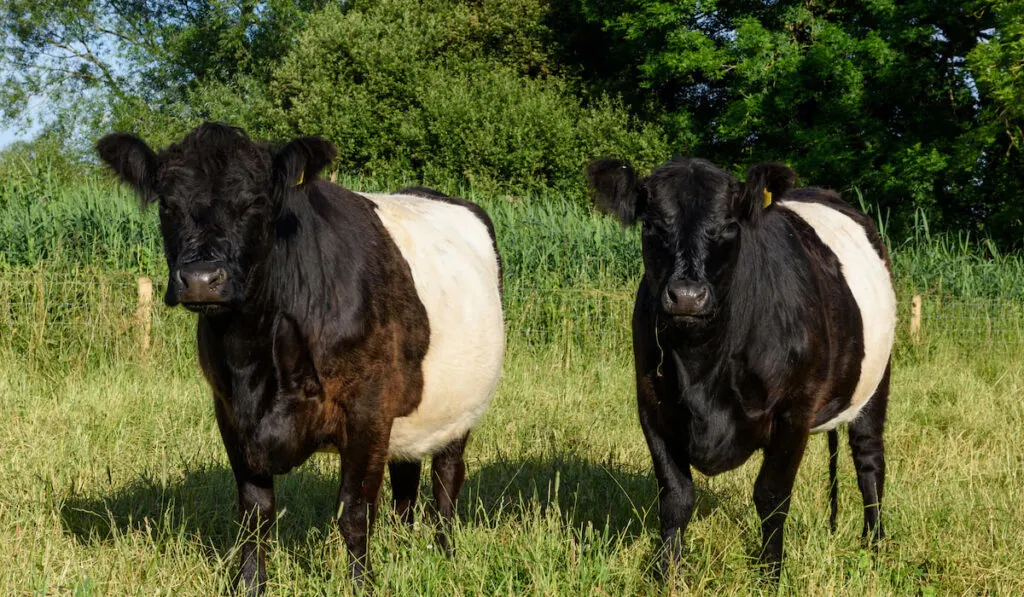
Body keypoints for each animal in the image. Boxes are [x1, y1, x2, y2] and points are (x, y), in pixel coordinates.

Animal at [97, 122, 505, 593]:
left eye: (256, 202)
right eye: (167, 203)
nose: (201, 279)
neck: (257, 360)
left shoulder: (368, 410)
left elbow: (354, 512)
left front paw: (361, 586)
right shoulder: (230, 413)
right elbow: (255, 515)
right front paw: (250, 586)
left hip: (461, 407)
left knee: (446, 478)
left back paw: (444, 553)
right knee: (406, 479)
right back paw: (406, 549)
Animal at [585, 156, 897, 581]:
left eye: (729, 225)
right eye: (651, 225)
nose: (687, 297)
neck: (702, 367)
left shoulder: (794, 411)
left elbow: (772, 495)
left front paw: (770, 574)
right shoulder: (650, 403)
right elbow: (676, 496)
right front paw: (665, 574)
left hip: (875, 383)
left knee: (869, 461)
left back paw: (875, 546)